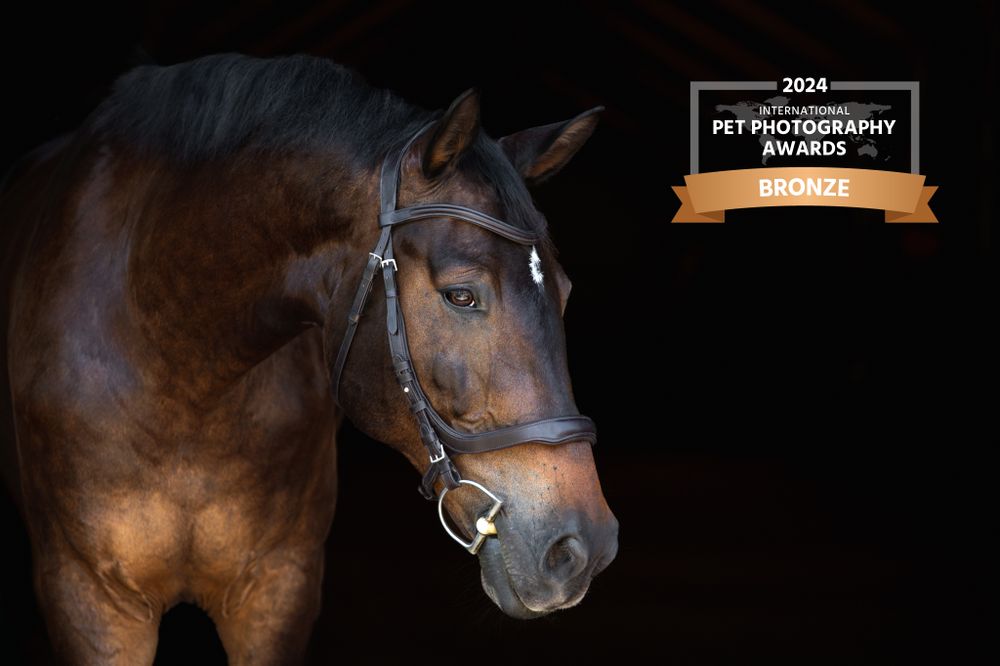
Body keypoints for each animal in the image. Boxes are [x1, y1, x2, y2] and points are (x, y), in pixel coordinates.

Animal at [0, 53, 618, 664]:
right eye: (460, 295)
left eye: (564, 292)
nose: (583, 548)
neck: (178, 368)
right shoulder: (89, 599)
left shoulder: (278, 590)